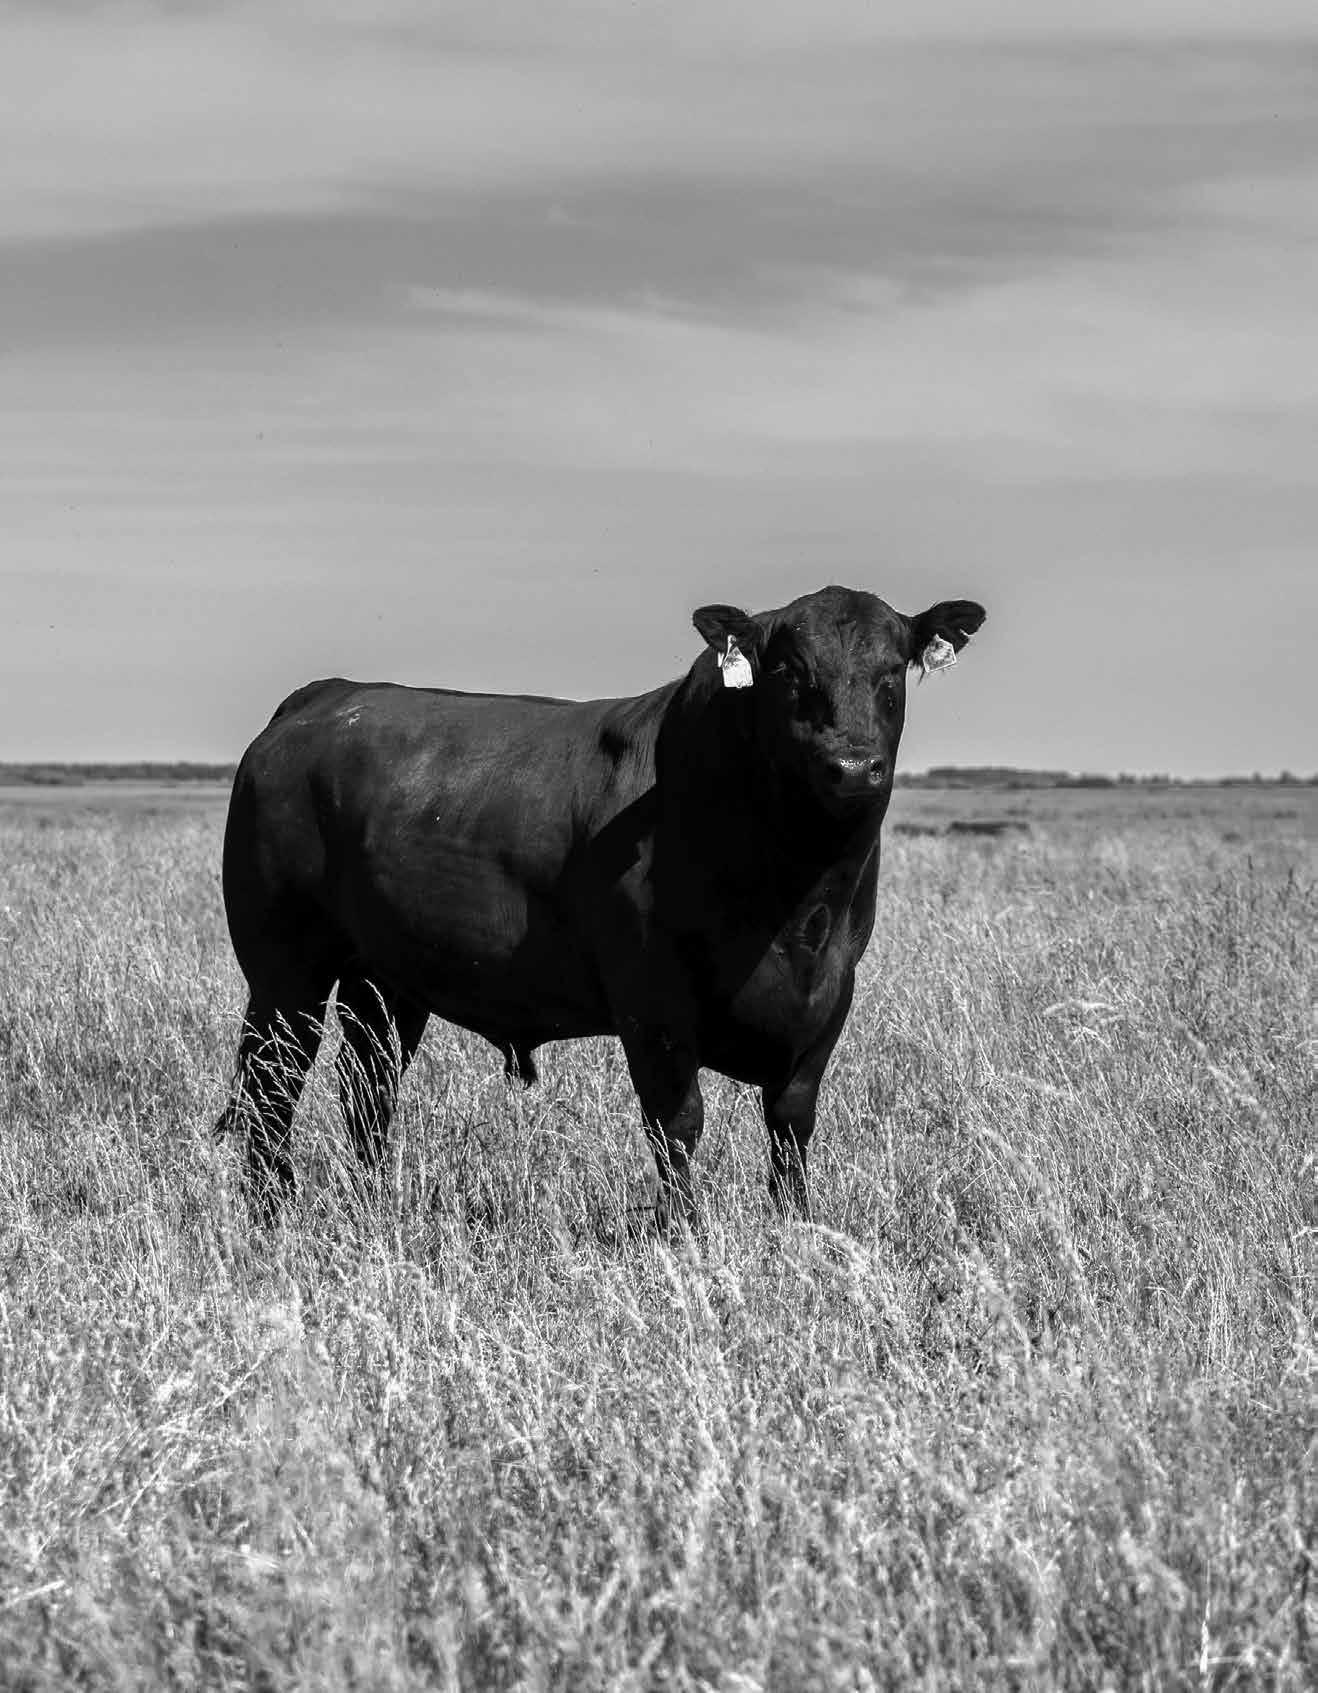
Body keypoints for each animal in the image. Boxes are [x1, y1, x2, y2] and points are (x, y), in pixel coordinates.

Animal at [215, 585, 985, 1224]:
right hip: (284, 969)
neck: (797, 908)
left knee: (368, 1089)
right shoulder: (652, 1000)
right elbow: (678, 1125)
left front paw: (795, 1229)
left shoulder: (829, 998)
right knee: (271, 1085)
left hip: (384, 981)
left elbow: (791, 1127)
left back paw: (373, 1202)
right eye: (789, 671)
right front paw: (683, 1234)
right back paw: (271, 1216)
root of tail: (325, 696)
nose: (852, 766)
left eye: (893, 672)